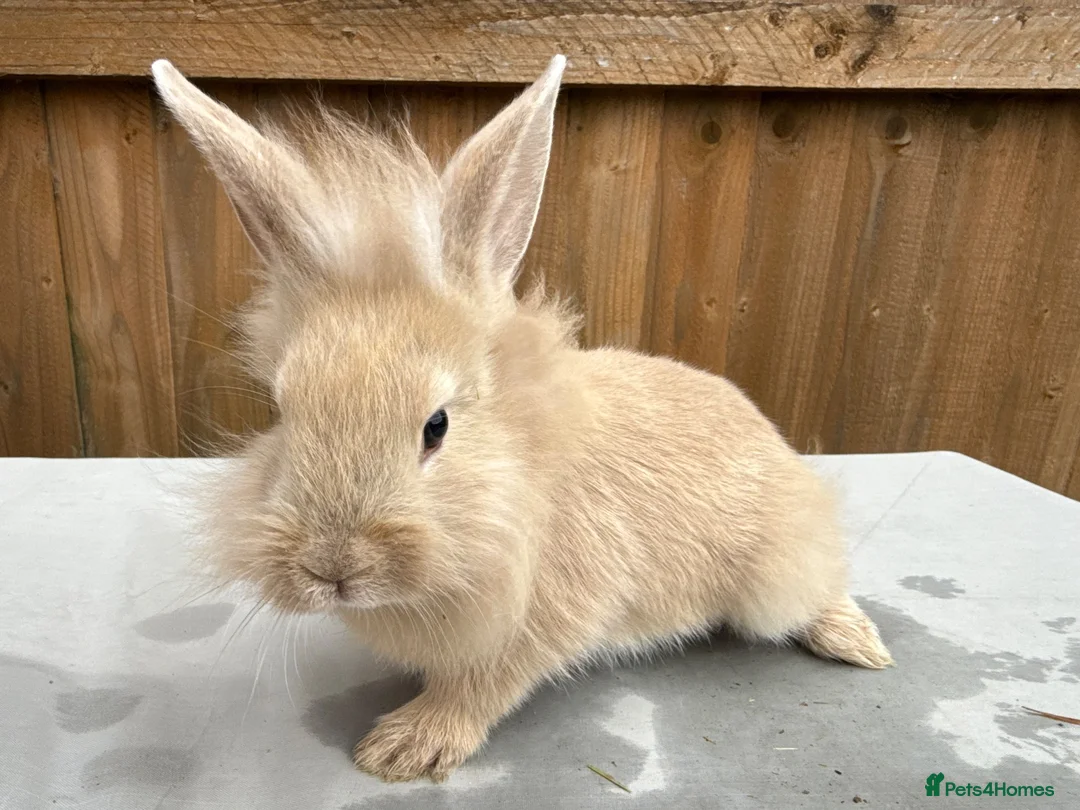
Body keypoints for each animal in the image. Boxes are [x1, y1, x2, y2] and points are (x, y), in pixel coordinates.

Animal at [151, 54, 892, 784]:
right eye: (281, 411)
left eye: (437, 426)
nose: (333, 569)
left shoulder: (541, 618)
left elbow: (482, 685)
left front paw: (402, 748)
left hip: (776, 574)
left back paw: (859, 644)